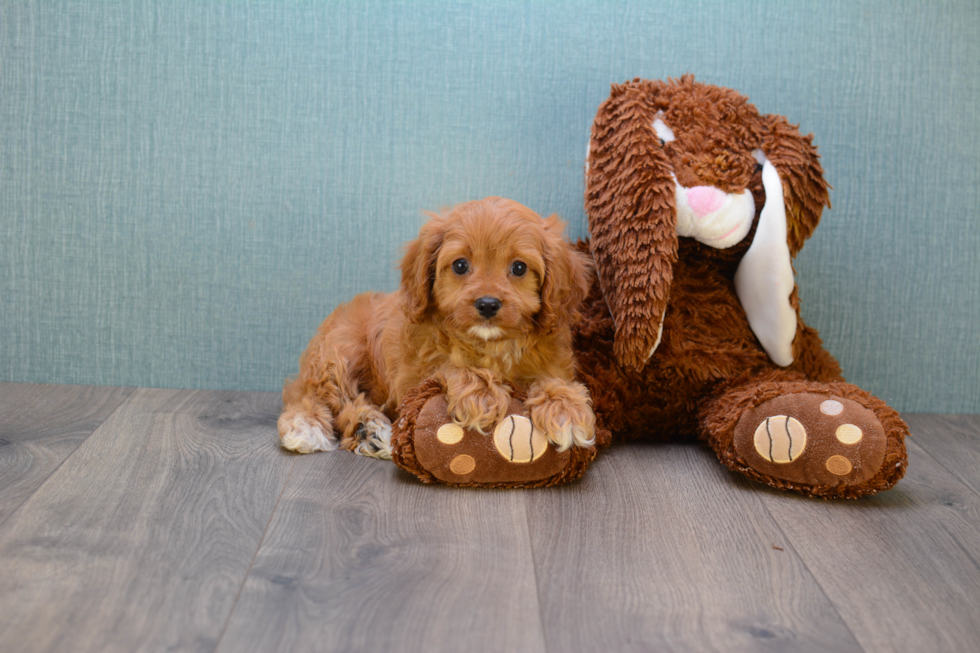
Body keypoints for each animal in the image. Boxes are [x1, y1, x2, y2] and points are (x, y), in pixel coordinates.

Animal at [278, 197, 596, 458]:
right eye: (460, 265)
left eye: (519, 268)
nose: (488, 304)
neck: (490, 345)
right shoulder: (411, 376)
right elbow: (449, 366)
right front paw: (480, 392)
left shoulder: (552, 361)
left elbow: (549, 378)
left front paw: (566, 407)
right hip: (339, 351)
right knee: (316, 397)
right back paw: (337, 427)